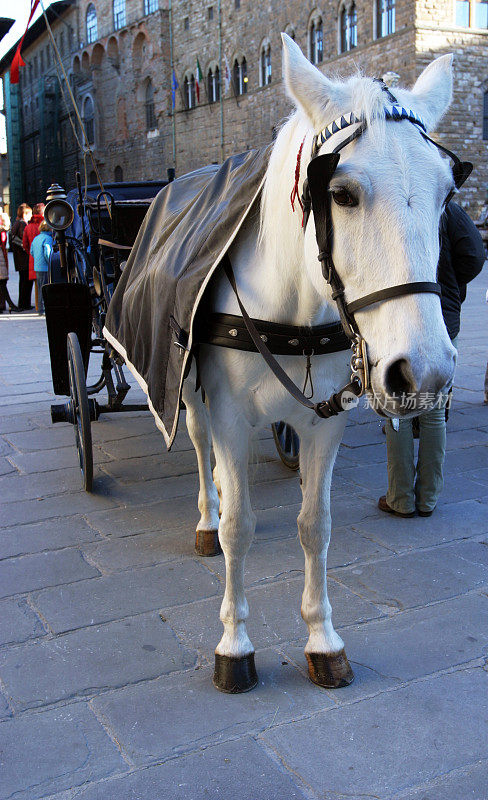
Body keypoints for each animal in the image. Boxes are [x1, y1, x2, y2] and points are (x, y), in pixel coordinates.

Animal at [182, 34, 458, 692]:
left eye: (447, 193)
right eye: (341, 193)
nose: (425, 373)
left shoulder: (324, 424)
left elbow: (317, 525)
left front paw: (322, 638)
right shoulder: (229, 417)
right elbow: (240, 528)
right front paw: (234, 645)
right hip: (193, 396)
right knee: (201, 450)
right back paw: (207, 516)